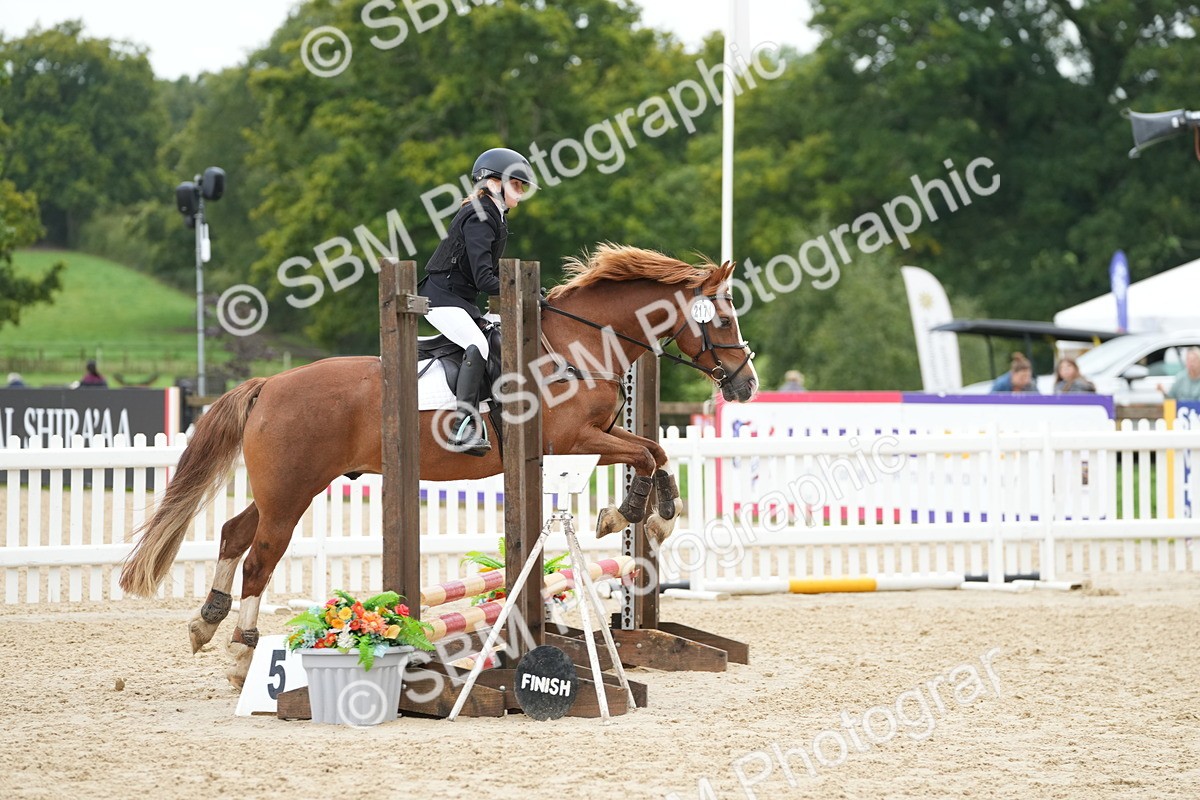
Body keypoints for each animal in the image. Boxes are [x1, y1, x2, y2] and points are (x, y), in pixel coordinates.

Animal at [118, 244, 759, 687]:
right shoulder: (573, 438)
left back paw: (205, 623)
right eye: (724, 320)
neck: (575, 346)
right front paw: (630, 513)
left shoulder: (595, 436)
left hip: (290, 486)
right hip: (292, 490)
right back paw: (240, 653)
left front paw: (650, 514)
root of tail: (269, 384)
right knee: (260, 557)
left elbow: (656, 450)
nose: (746, 384)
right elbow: (646, 452)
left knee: (234, 531)